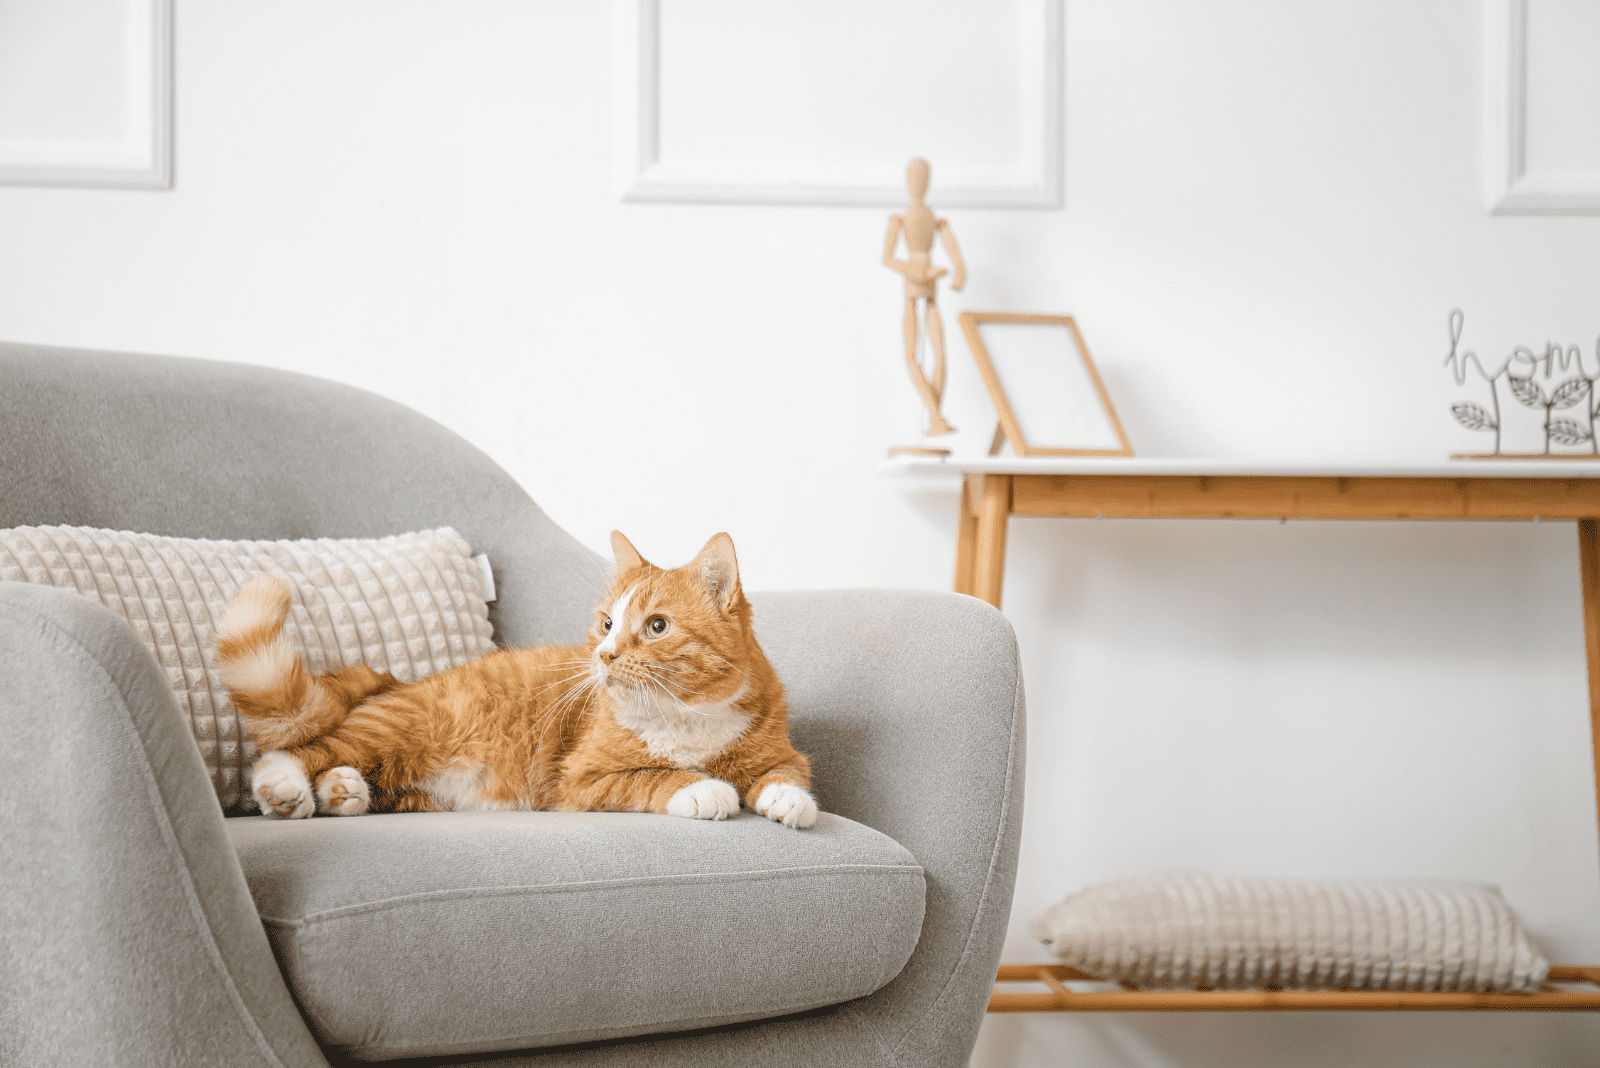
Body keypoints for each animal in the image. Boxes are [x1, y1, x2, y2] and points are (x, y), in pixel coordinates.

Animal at [216, 530, 812, 824]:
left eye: (657, 626)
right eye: (607, 623)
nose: (605, 655)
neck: (687, 716)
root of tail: (399, 683)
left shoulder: (781, 751)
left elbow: (787, 773)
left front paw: (789, 802)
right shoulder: (581, 780)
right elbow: (653, 777)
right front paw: (704, 788)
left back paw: (343, 792)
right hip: (396, 730)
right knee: (299, 751)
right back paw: (287, 789)